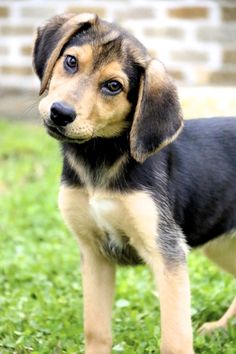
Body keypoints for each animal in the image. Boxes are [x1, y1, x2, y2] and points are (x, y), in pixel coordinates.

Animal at [33, 13, 236, 354]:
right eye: (71, 61)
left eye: (113, 86)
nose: (60, 113)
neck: (99, 158)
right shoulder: (94, 253)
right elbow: (96, 330)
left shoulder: (166, 252)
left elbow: (175, 338)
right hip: (223, 246)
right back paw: (221, 327)